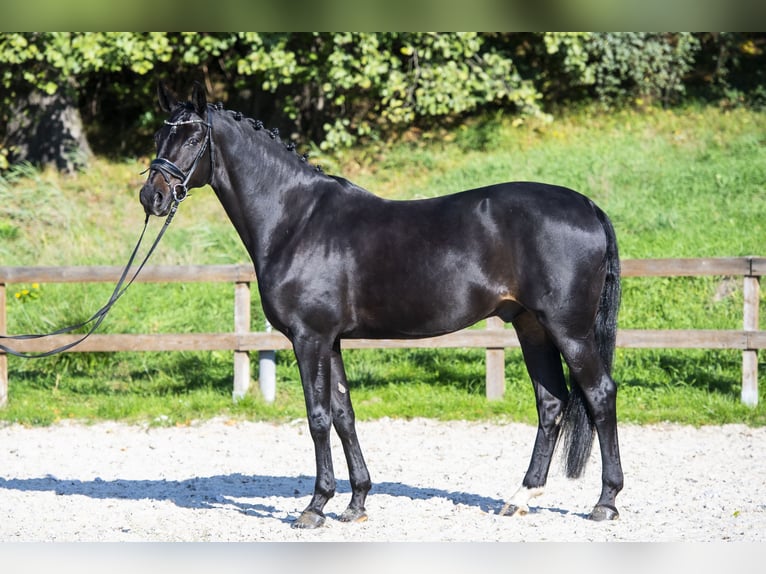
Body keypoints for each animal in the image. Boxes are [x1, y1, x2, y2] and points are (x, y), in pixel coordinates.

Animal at [141, 84, 628, 532]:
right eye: (160, 136)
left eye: (193, 136)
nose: (152, 197)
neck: (296, 220)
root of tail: (588, 206)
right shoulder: (331, 341)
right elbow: (344, 415)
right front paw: (355, 502)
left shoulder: (309, 338)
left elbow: (317, 417)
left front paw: (315, 507)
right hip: (531, 326)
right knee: (551, 403)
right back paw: (522, 496)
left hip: (569, 330)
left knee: (600, 394)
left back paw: (605, 501)